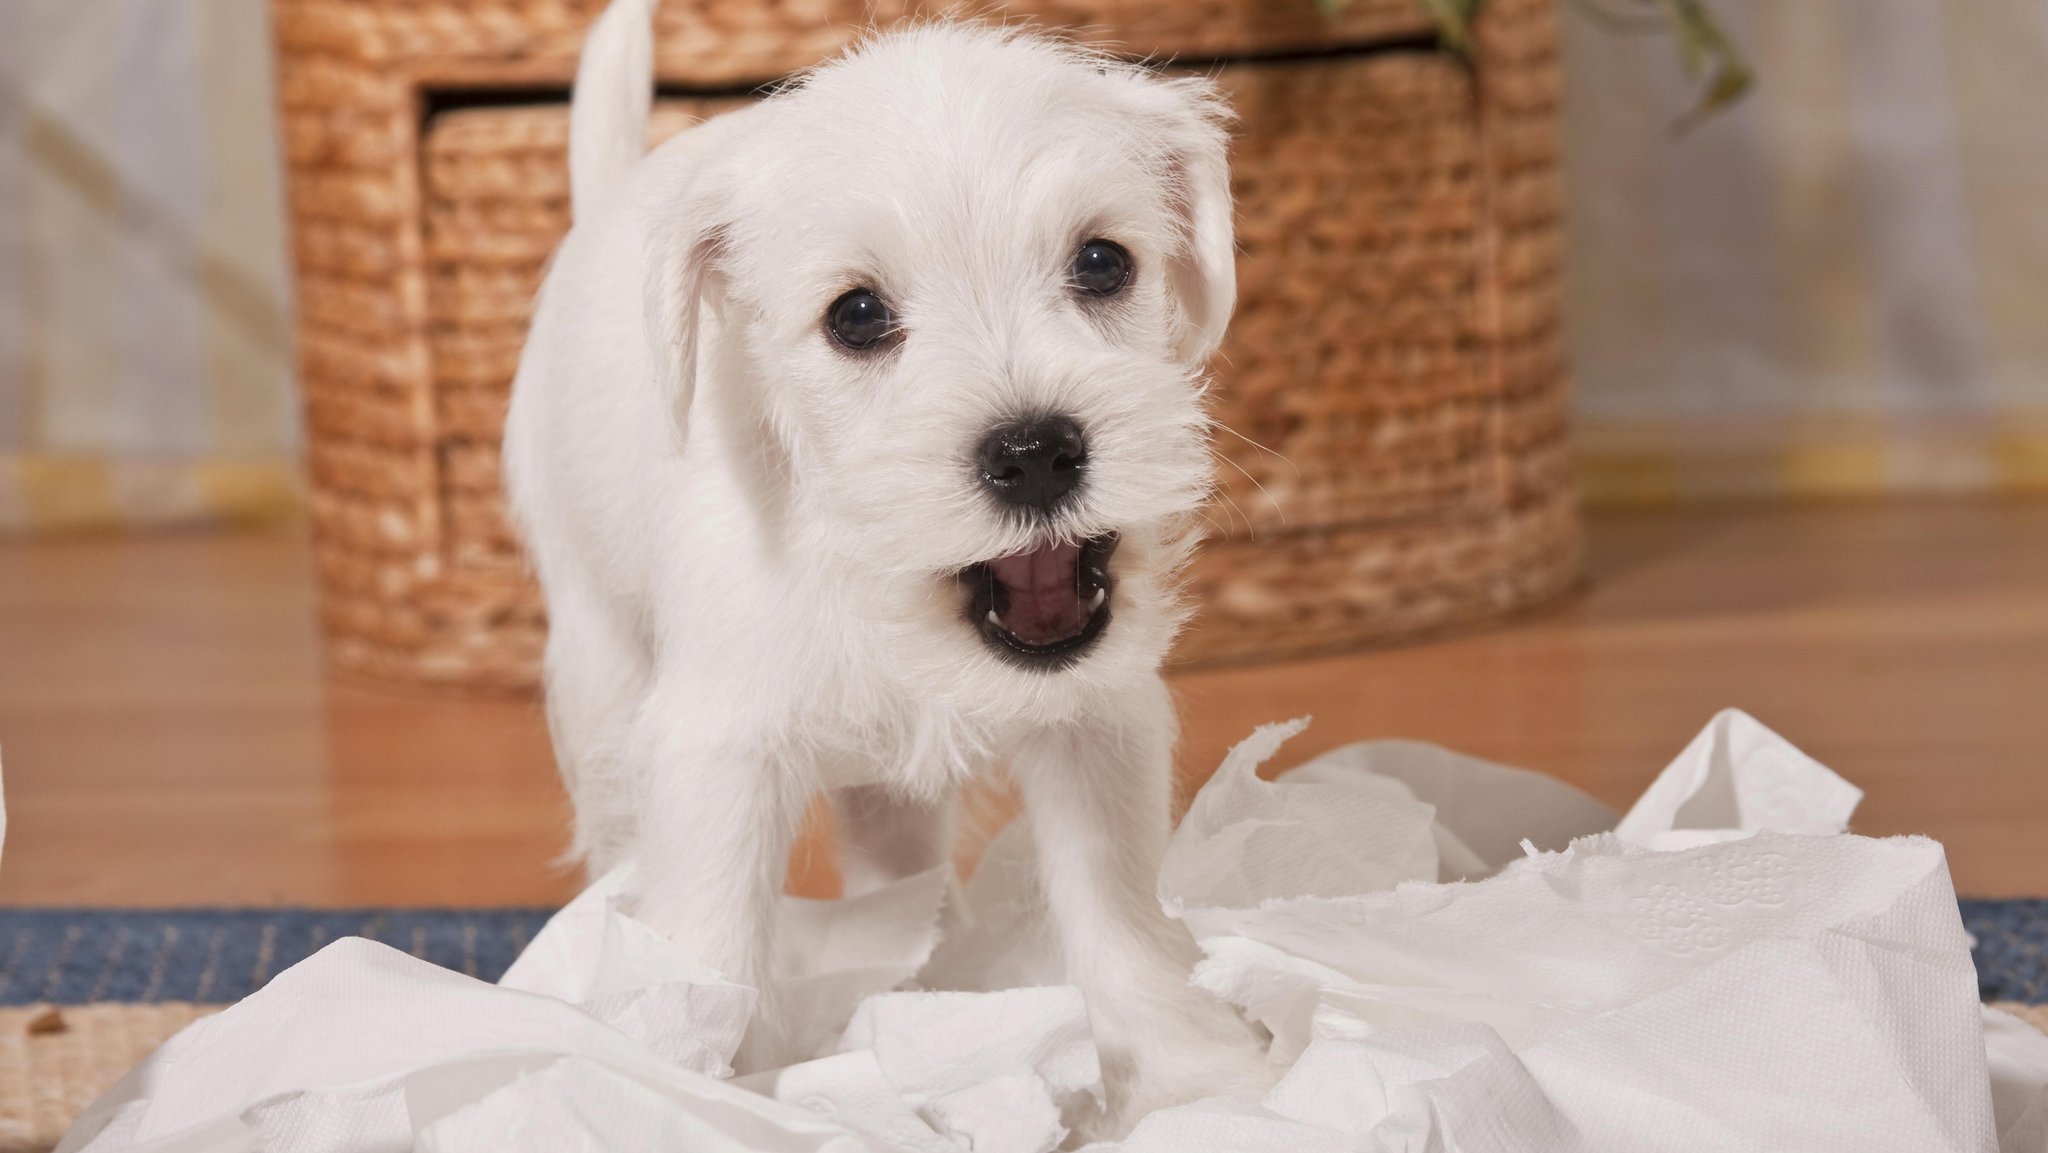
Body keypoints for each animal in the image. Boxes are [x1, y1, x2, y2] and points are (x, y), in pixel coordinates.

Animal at [503, 0, 1253, 1130]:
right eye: (856, 316)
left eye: (1101, 262)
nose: (1035, 450)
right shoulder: (716, 754)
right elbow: (709, 937)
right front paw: (681, 1082)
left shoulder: (1095, 726)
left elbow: (1117, 911)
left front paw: (1192, 1078)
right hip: (600, 677)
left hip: (889, 800)